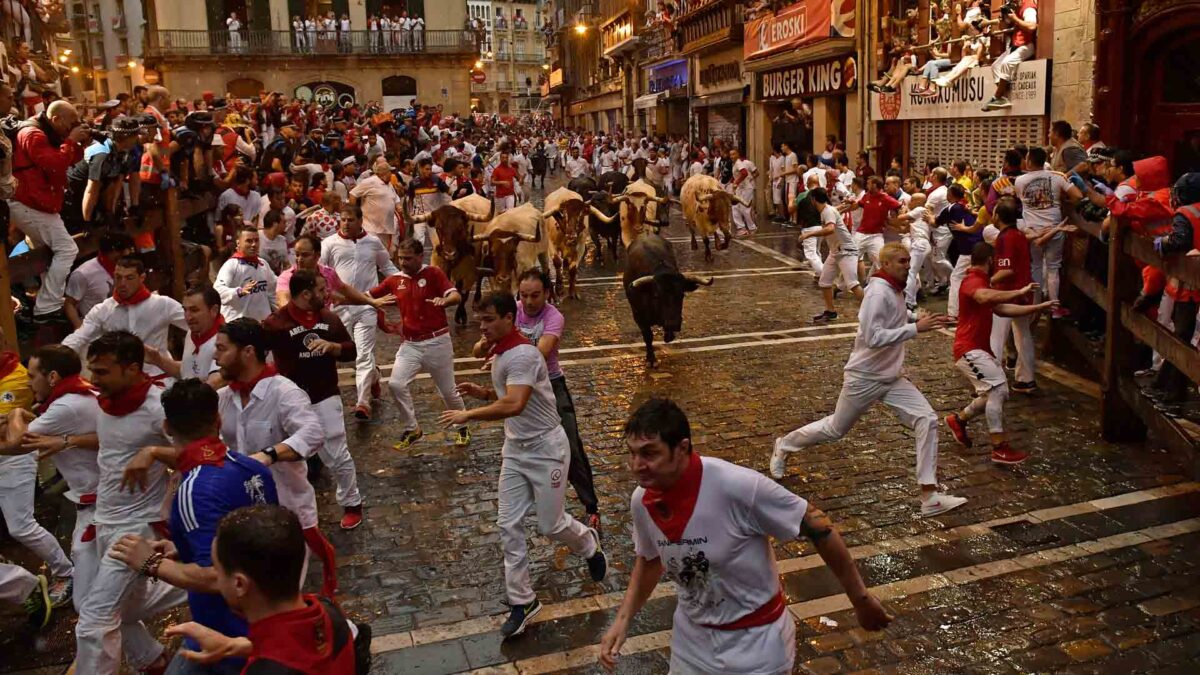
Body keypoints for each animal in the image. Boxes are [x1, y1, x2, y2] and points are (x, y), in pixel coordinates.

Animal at [619, 233, 710, 367]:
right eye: (657, 295)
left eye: (682, 295)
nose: (673, 323)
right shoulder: (639, 317)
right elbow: (648, 336)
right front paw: (651, 359)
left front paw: (668, 336)